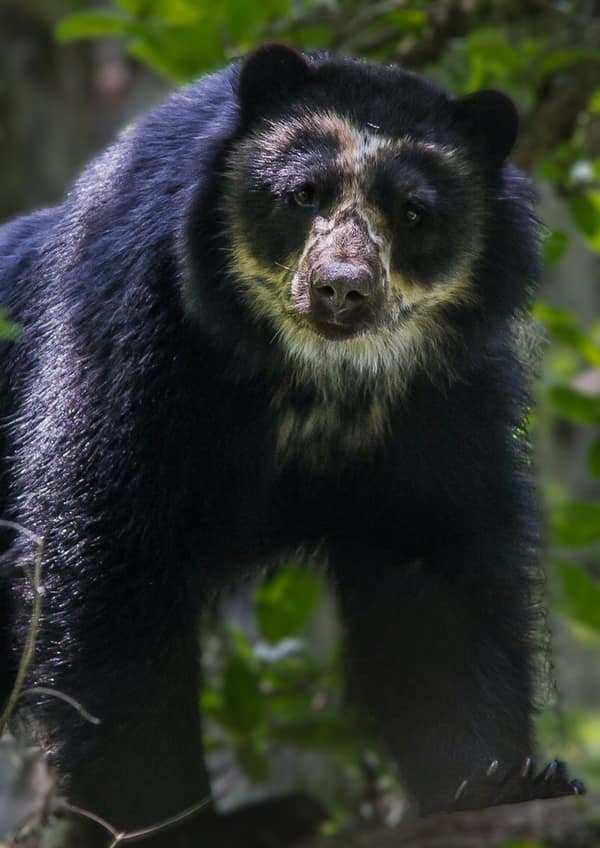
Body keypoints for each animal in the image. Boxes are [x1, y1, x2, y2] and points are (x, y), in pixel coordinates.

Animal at [0, 43, 584, 847]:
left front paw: (500, 782)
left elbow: (437, 577)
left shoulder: (441, 400)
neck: (312, 379)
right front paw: (171, 822)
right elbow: (106, 570)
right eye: (303, 194)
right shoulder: (122, 346)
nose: (342, 288)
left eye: (414, 213)